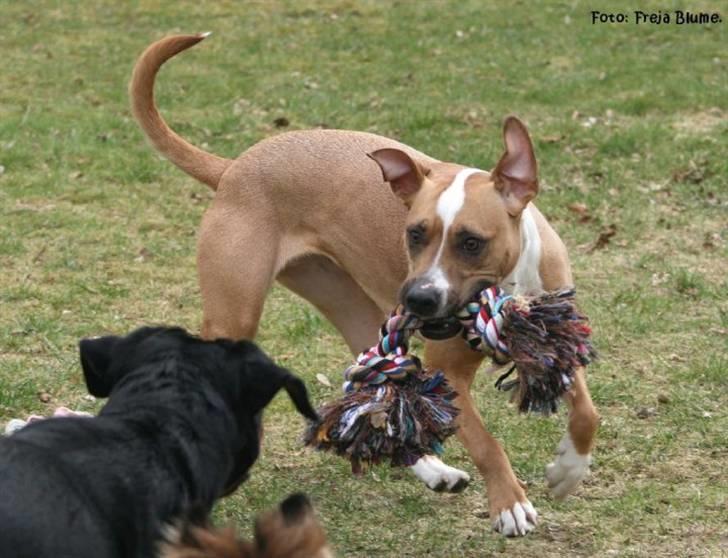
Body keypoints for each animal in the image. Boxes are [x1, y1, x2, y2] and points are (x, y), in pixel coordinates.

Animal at [129, 34, 596, 540]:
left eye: (472, 242)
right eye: (414, 234)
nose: (418, 298)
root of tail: (233, 167)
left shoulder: (559, 340)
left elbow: (587, 412)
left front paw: (568, 470)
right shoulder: (449, 371)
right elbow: (486, 442)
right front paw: (510, 503)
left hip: (351, 305)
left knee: (382, 387)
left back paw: (434, 470)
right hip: (236, 314)